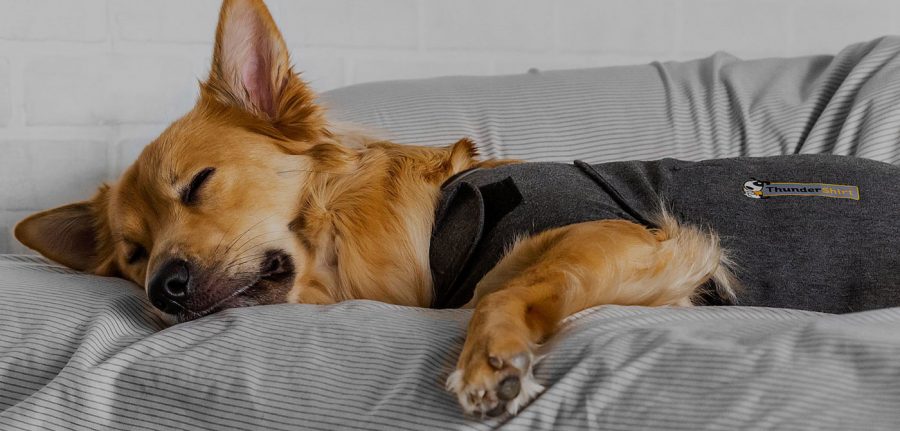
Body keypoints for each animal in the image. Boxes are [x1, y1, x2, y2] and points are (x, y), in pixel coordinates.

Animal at [15, 0, 900, 418]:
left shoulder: (637, 235)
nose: (160, 288)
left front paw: (491, 354)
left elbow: (507, 285)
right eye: (131, 254)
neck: (431, 224)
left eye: (197, 183)